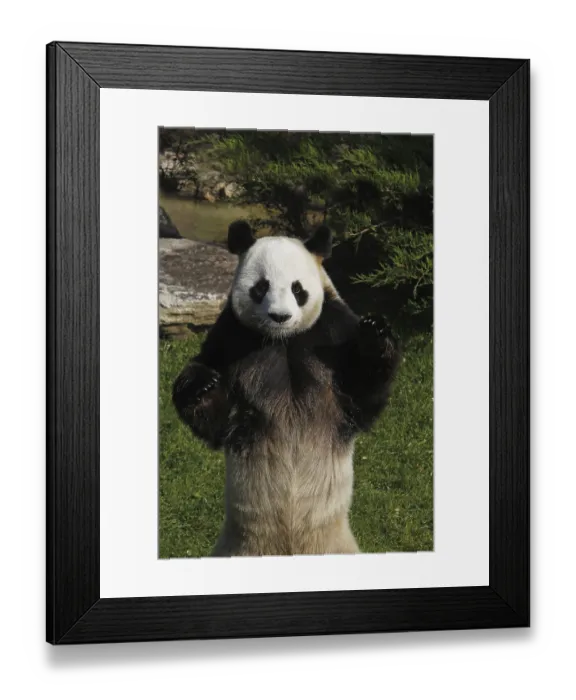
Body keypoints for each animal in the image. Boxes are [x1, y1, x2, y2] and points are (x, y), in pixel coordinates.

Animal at [172, 220, 401, 557]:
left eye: (297, 289)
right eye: (260, 288)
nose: (280, 316)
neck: (283, 340)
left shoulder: (331, 331)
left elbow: (362, 394)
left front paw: (375, 336)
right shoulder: (231, 337)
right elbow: (219, 422)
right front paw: (201, 385)